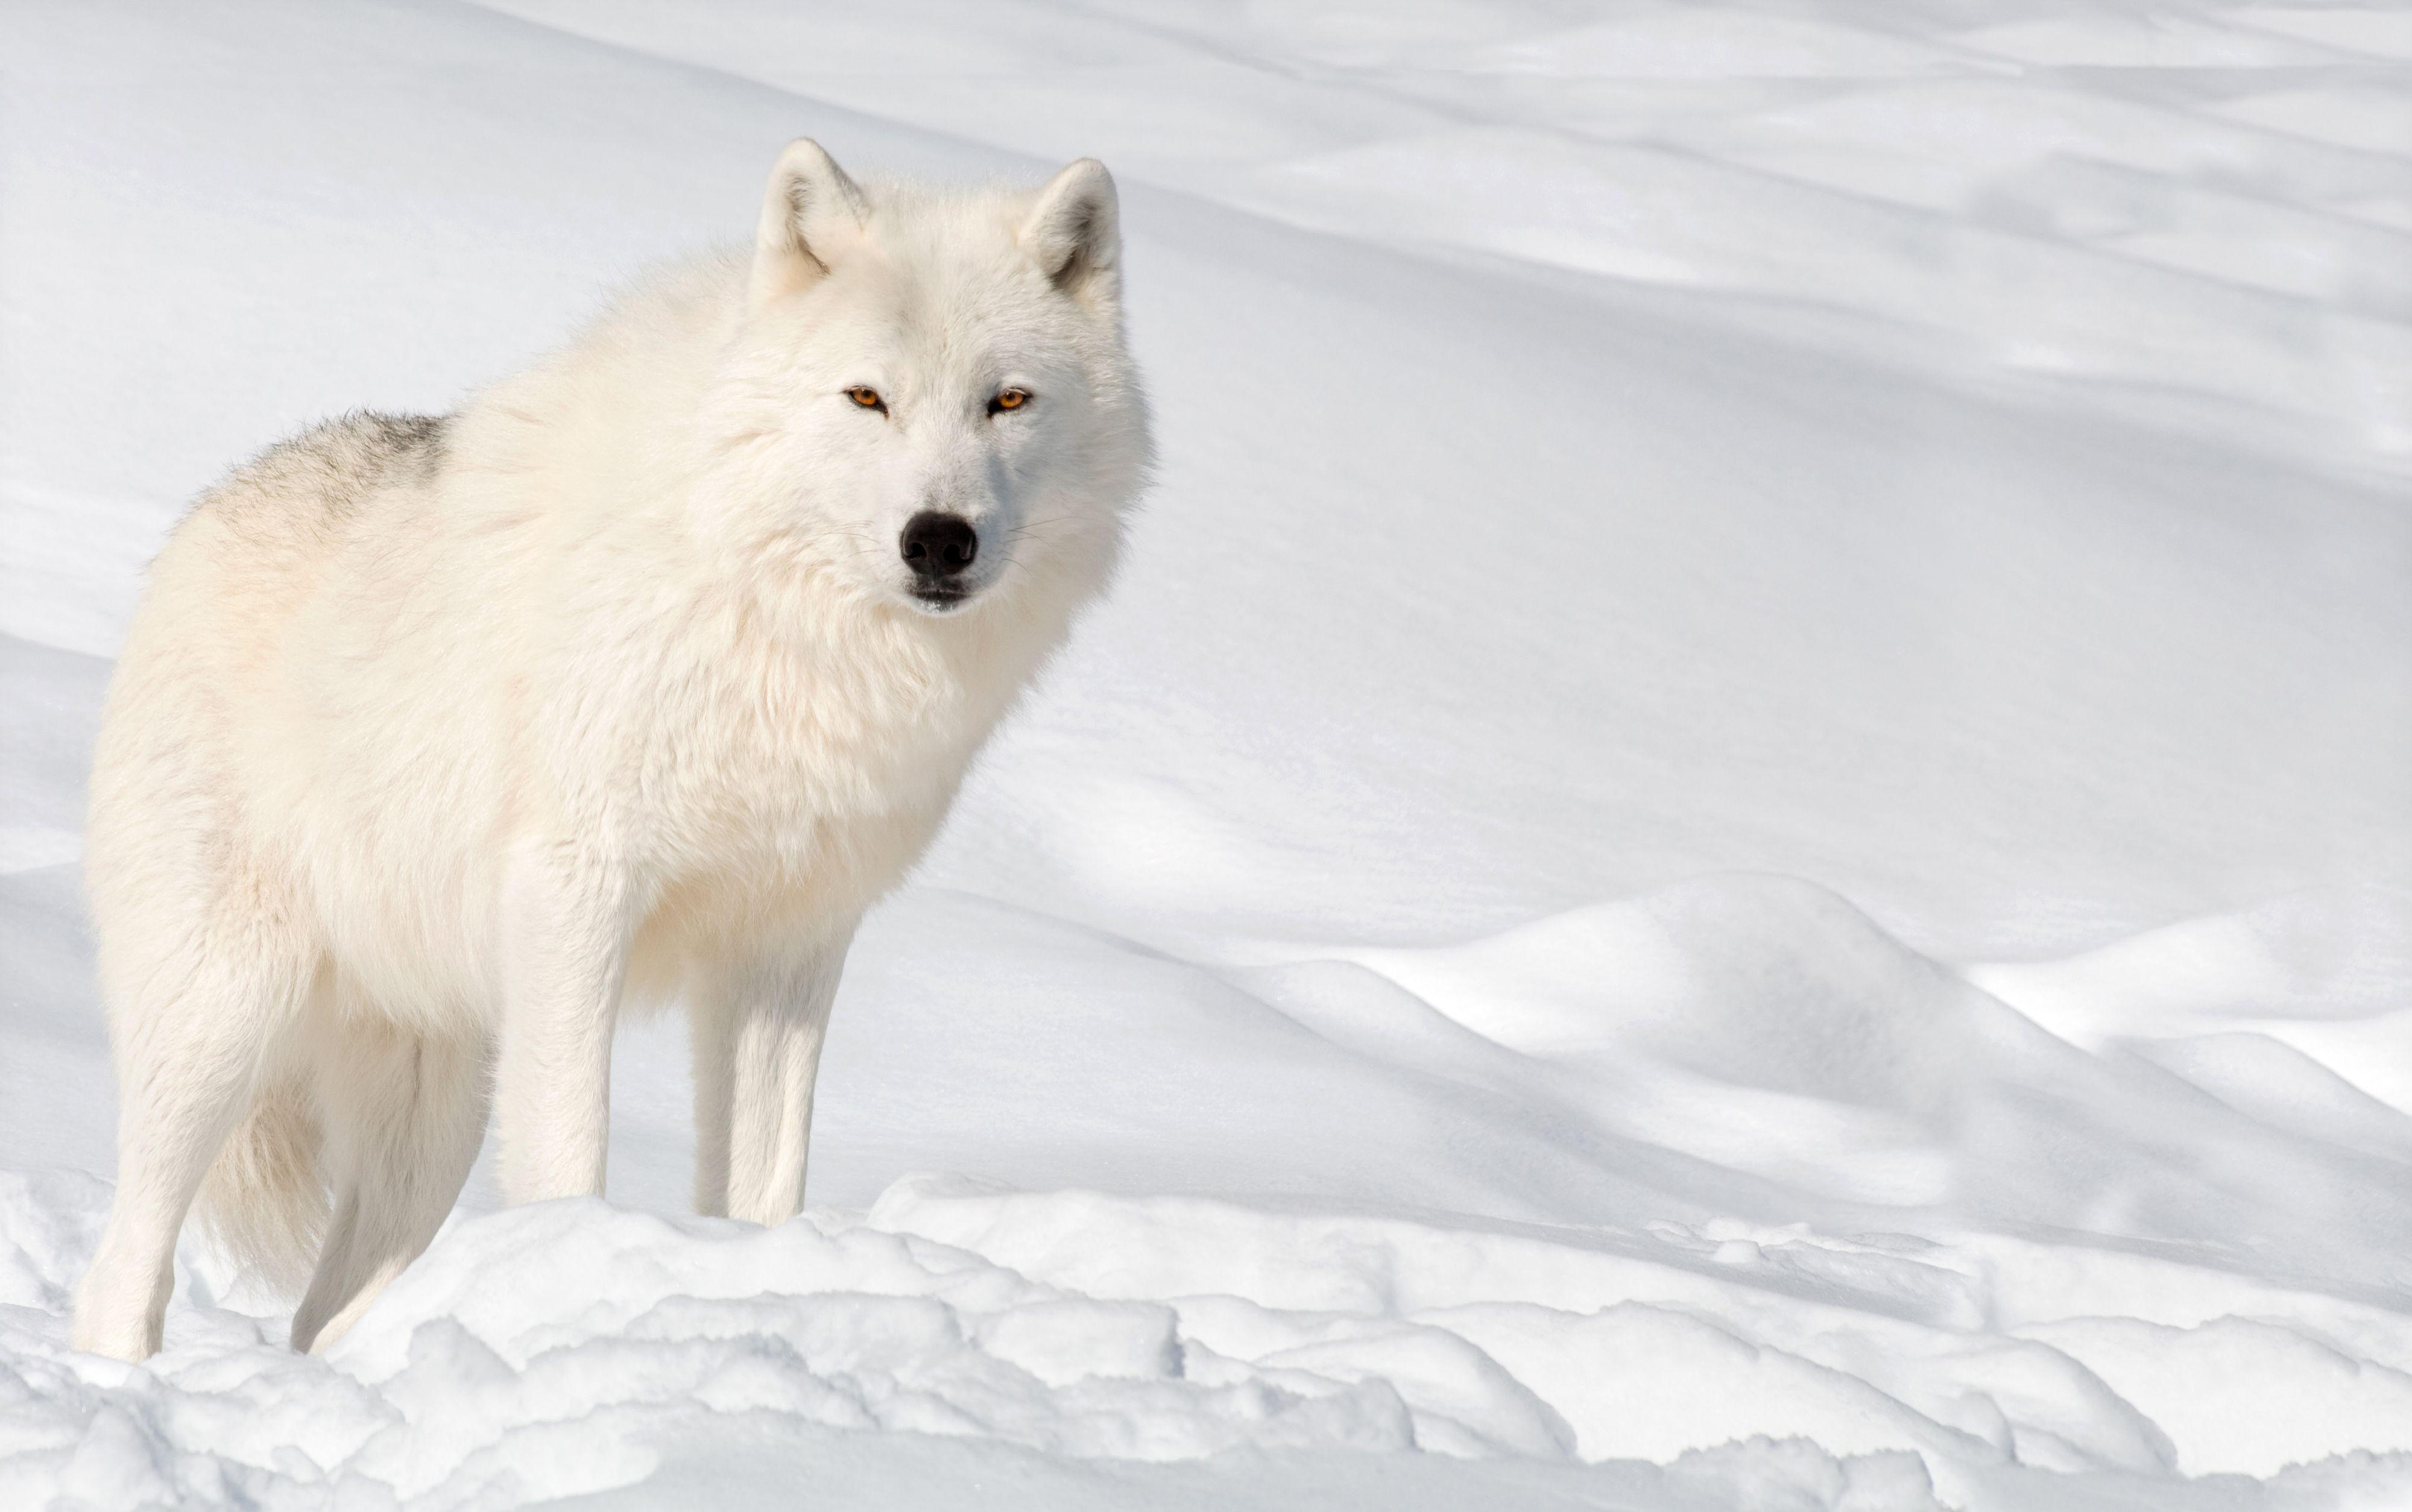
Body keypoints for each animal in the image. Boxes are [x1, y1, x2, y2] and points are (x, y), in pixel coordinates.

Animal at [70, 141, 1151, 1363]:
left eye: (1007, 401)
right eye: (867, 397)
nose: (940, 539)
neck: (774, 619)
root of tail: (196, 523)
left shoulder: (788, 944)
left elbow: (763, 1185)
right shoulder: (577, 893)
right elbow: (567, 1153)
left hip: (429, 1119)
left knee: (325, 1314)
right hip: (222, 1025)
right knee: (123, 1271)